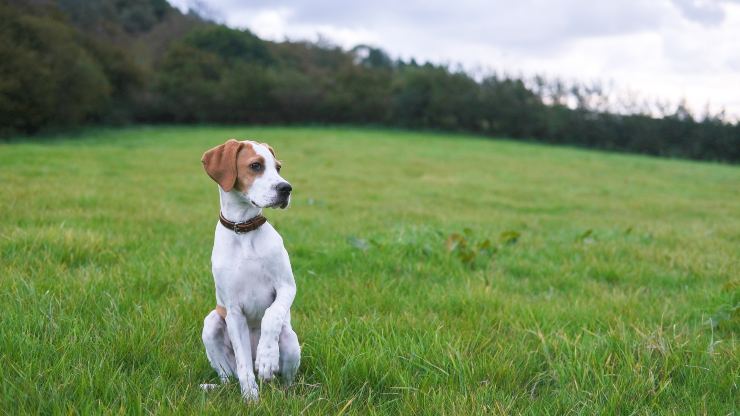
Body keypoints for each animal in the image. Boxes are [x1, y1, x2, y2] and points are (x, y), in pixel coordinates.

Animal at [199, 140, 300, 404]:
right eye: (255, 166)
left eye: (278, 167)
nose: (286, 188)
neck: (243, 230)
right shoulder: (233, 310)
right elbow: (245, 365)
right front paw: (251, 399)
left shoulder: (287, 286)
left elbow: (271, 315)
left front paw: (266, 357)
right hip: (212, 322)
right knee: (229, 376)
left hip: (290, 339)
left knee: (285, 382)